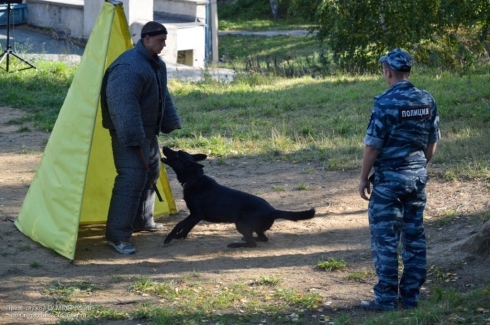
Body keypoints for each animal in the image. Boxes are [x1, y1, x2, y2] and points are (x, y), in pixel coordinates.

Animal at [159, 147, 316, 248]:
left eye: (177, 154)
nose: (165, 146)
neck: (194, 179)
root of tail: (273, 210)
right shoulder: (196, 215)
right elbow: (187, 227)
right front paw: (180, 236)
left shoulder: (196, 214)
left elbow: (179, 224)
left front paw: (169, 237)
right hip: (251, 227)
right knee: (262, 238)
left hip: (240, 223)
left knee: (253, 244)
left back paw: (236, 244)